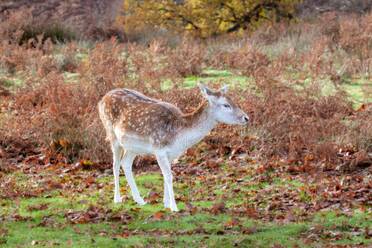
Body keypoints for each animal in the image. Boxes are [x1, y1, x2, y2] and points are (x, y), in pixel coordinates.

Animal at [98, 84, 250, 211]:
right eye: (226, 105)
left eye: (233, 101)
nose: (246, 118)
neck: (179, 137)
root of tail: (101, 100)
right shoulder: (159, 149)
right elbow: (169, 176)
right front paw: (174, 207)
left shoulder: (171, 154)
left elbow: (166, 176)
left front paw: (166, 204)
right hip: (111, 134)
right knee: (115, 164)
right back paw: (117, 199)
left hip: (132, 146)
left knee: (126, 163)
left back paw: (140, 200)